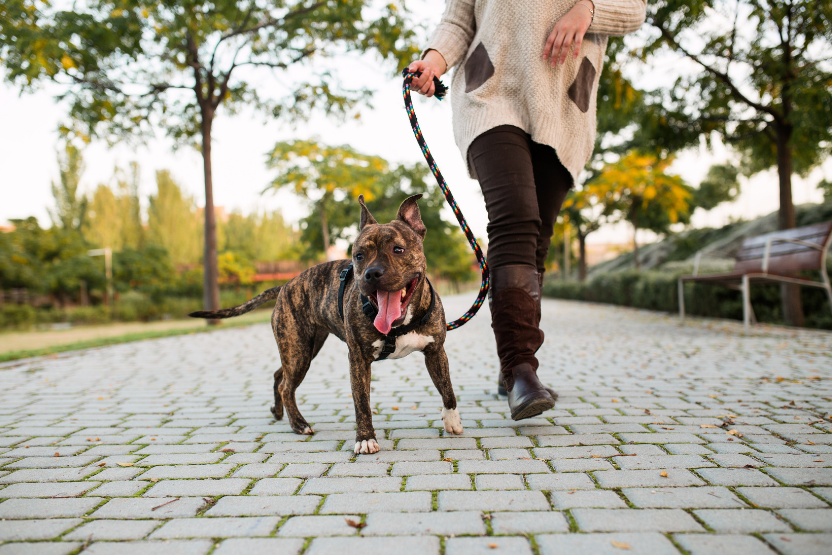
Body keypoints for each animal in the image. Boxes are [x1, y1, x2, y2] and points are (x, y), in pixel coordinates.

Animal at [189, 195, 464, 456]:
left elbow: (447, 389)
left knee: (280, 376)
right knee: (287, 385)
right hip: (298, 352)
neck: (399, 324)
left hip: (302, 349)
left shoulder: (435, 351)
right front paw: (365, 439)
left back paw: (278, 412)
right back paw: (299, 424)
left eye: (398, 249)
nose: (372, 273)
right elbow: (362, 403)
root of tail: (285, 285)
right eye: (359, 256)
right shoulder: (358, 360)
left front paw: (451, 421)